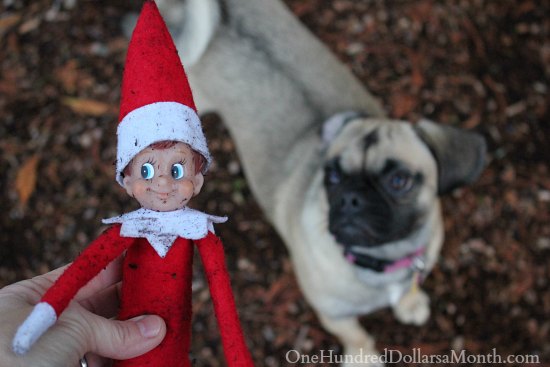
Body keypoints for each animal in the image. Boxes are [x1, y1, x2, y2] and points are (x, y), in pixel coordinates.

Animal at [128, 0, 488, 366]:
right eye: (334, 177)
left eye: (399, 180)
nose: (351, 198)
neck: (382, 261)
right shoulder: (334, 314)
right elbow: (355, 334)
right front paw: (363, 357)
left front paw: (410, 303)